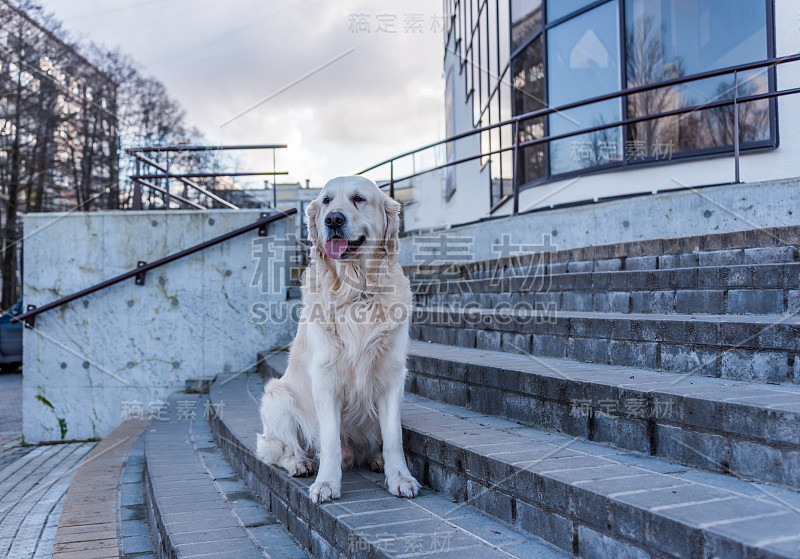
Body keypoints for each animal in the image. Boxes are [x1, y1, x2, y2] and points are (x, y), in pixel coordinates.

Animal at [256, 175, 422, 504]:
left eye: (359, 199)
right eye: (326, 201)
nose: (333, 219)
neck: (356, 292)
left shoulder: (392, 376)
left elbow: (393, 437)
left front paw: (400, 477)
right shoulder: (324, 379)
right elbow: (330, 440)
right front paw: (326, 484)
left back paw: (376, 460)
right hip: (277, 397)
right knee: (279, 450)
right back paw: (301, 464)